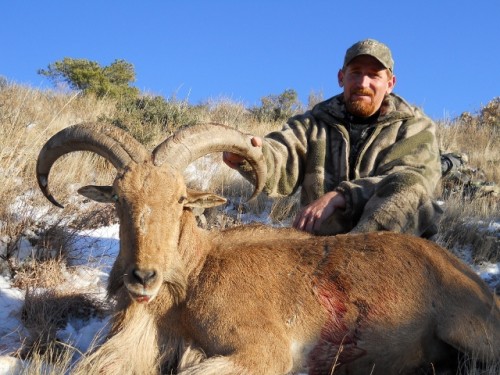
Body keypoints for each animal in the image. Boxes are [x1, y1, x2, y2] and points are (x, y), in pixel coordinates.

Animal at [37, 122, 498, 374]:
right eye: (118, 198)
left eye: (182, 200)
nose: (143, 276)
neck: (195, 276)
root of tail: (476, 282)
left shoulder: (262, 351)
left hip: (470, 330)